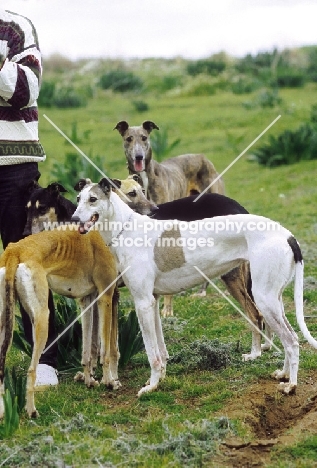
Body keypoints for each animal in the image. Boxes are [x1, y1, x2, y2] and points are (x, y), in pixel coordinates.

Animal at [71, 177, 316, 396]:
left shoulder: (142, 303)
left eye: (93, 199)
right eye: (78, 198)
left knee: (292, 341)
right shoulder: (153, 302)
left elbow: (152, 353)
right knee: (289, 337)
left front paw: (151, 386)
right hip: (274, 299)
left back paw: (291, 385)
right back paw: (283, 374)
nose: (73, 218)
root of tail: (287, 235)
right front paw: (159, 380)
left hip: (264, 299)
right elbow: (161, 349)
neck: (126, 229)